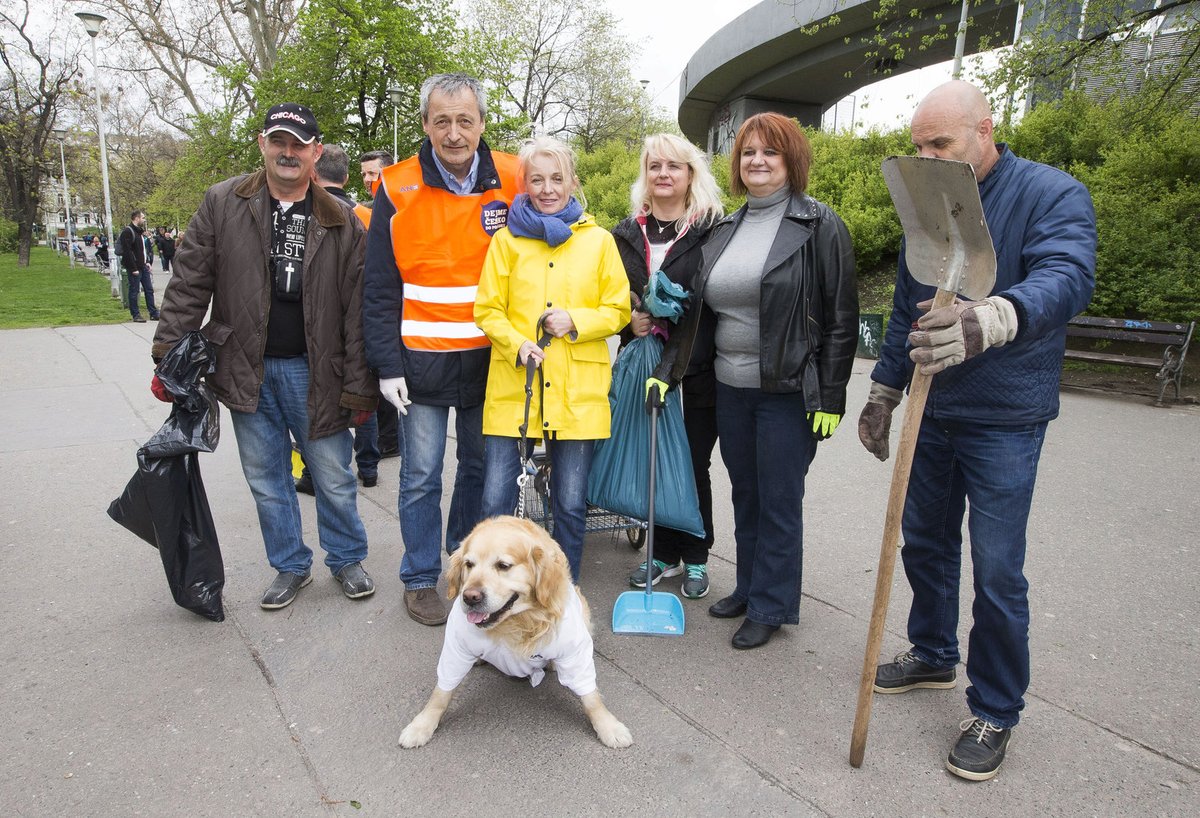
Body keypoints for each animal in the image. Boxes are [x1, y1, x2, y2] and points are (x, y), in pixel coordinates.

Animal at [398, 515, 633, 743]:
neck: (516, 622)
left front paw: (607, 725)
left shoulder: (574, 649)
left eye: (503, 565)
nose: (469, 597)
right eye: (469, 564)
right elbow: (441, 692)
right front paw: (422, 724)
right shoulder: (456, 647)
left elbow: (590, 696)